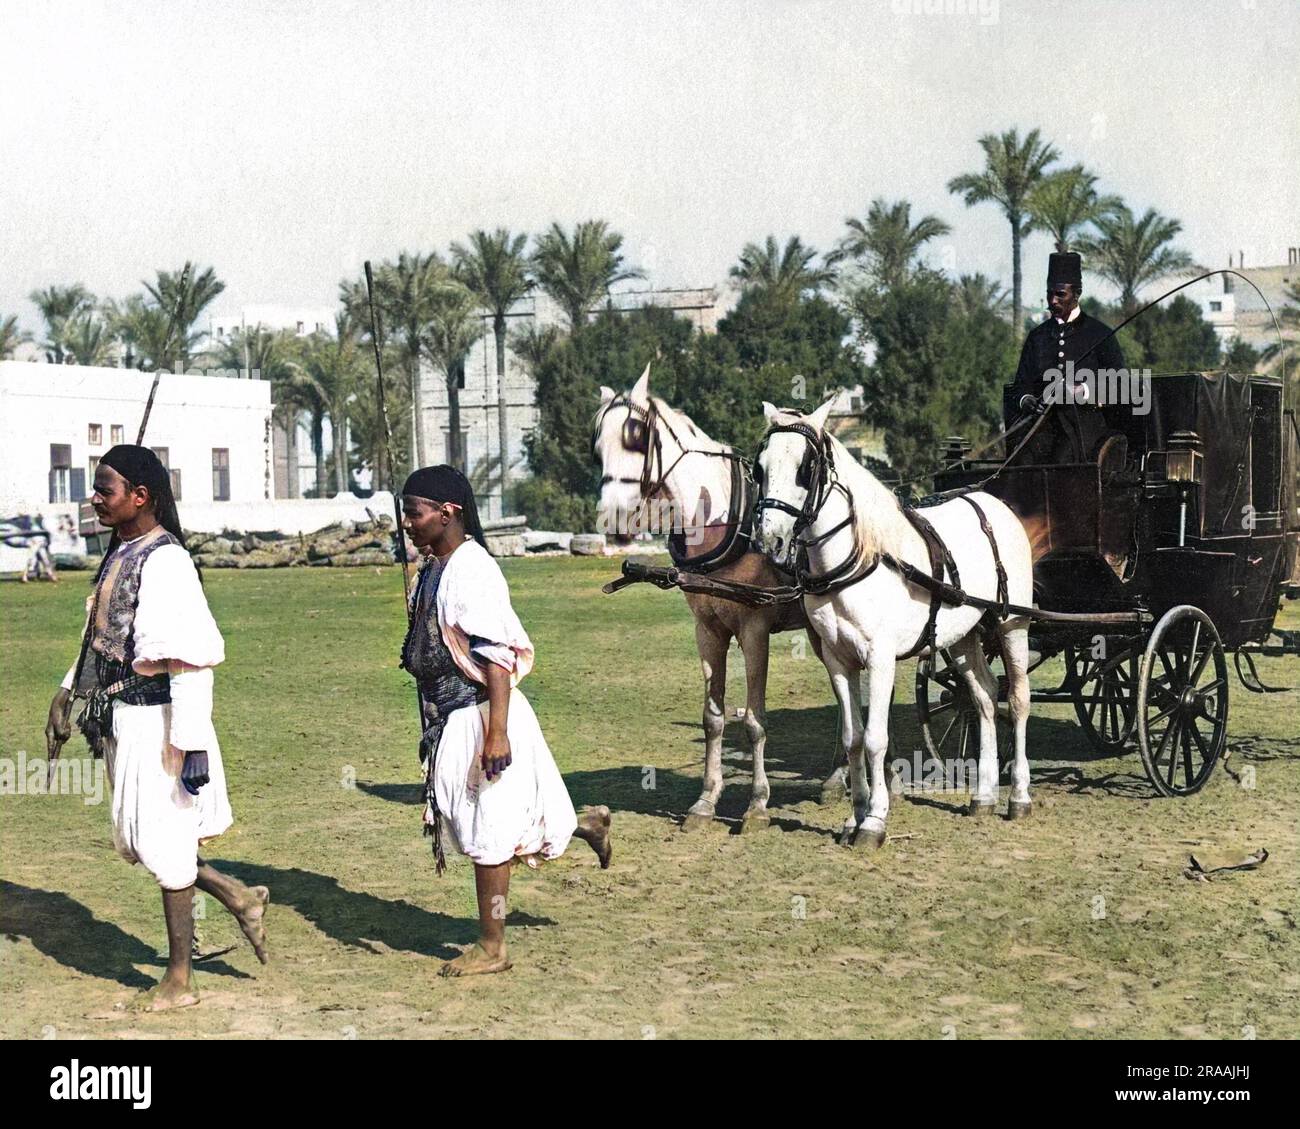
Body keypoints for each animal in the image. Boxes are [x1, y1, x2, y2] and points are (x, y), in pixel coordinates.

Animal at [595, 366, 847, 832]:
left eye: (636, 436)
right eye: (597, 442)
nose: (613, 518)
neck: (724, 521)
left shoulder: (754, 630)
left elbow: (754, 721)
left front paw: (757, 805)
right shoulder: (707, 630)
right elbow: (713, 718)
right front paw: (705, 801)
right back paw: (839, 778)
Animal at [754, 398, 1034, 848]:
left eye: (805, 468)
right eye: (759, 468)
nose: (770, 541)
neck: (859, 558)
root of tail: (991, 503)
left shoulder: (880, 658)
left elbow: (874, 739)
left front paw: (874, 821)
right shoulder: (838, 660)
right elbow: (852, 739)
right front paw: (854, 815)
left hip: (1013, 625)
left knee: (1019, 699)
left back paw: (1019, 797)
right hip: (962, 636)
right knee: (986, 698)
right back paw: (984, 796)